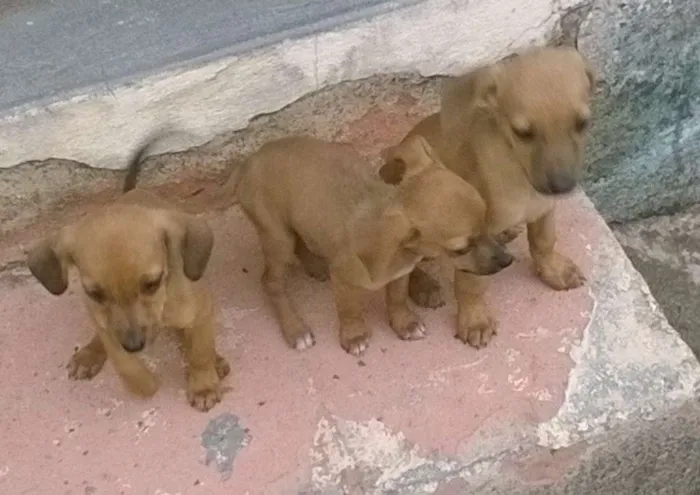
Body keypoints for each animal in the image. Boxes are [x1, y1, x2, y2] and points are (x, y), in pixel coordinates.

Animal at [27, 134, 230, 412]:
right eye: (95, 293)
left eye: (152, 283)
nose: (134, 346)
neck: (162, 306)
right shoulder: (105, 322)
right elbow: (123, 362)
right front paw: (143, 385)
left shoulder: (199, 313)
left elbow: (200, 351)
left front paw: (203, 385)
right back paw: (89, 354)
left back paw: (215, 361)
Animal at [200, 134, 512, 354]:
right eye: (461, 249)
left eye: (487, 221)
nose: (507, 261)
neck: (398, 253)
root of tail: (247, 163)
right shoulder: (345, 282)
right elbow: (349, 310)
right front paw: (355, 335)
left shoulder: (400, 274)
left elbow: (396, 299)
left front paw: (404, 324)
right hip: (277, 237)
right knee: (271, 282)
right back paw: (295, 329)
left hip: (294, 221)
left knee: (302, 240)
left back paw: (315, 265)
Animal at [404, 45, 596, 348]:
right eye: (523, 132)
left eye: (582, 123)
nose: (562, 186)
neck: (520, 176)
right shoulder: (471, 244)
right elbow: (471, 284)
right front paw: (475, 319)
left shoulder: (544, 210)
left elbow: (544, 243)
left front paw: (553, 270)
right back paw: (423, 286)